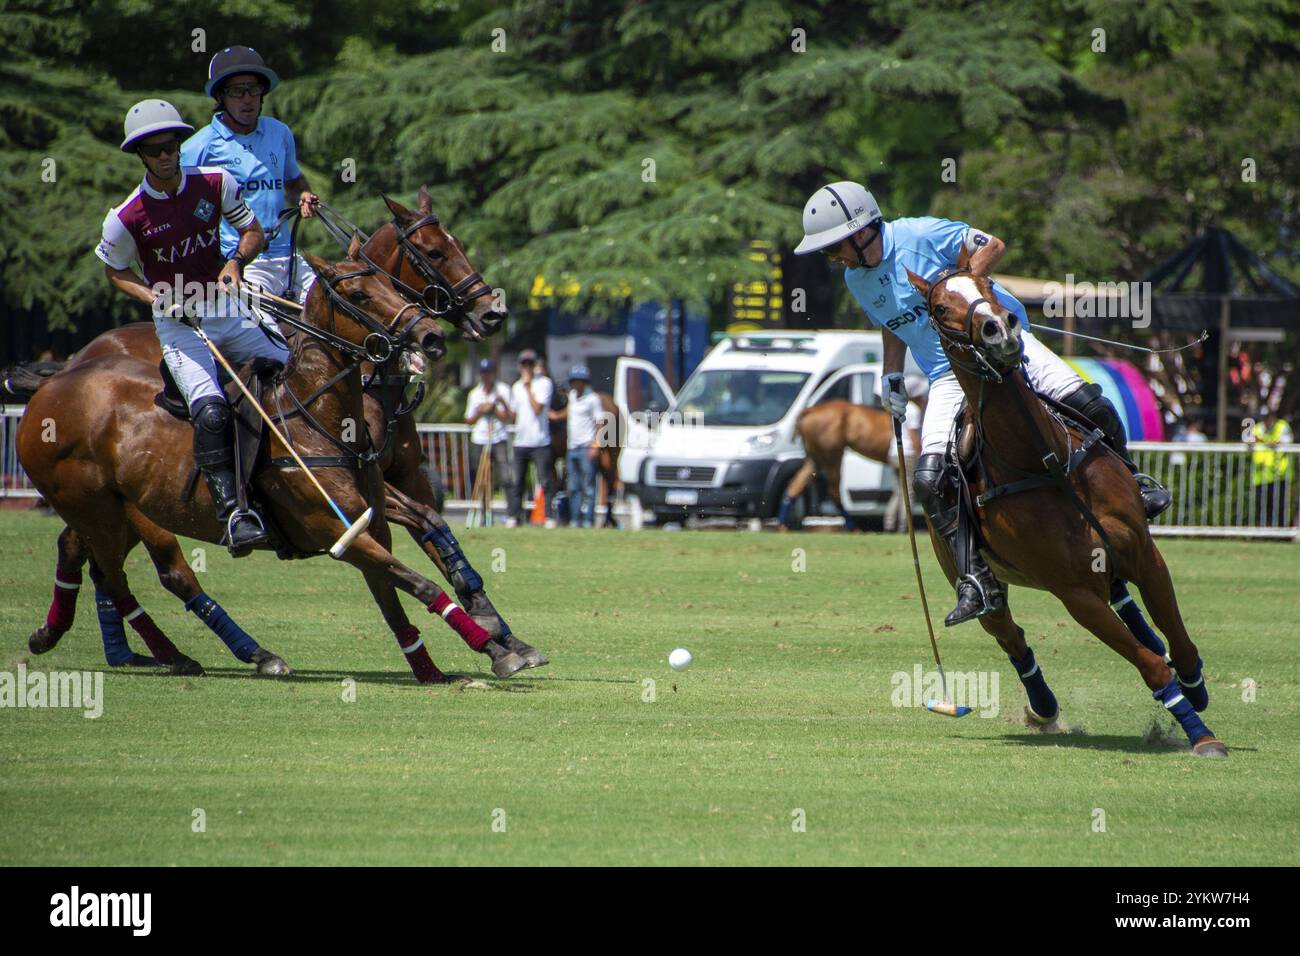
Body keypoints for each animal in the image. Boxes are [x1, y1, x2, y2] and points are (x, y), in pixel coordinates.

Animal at [909, 260, 1222, 754]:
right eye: (939, 307)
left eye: (988, 284)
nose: (1001, 330)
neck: (1046, 461)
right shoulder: (1075, 593)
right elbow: (1150, 666)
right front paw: (1202, 735)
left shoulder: (1144, 554)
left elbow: (1180, 640)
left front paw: (1195, 685)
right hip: (976, 581)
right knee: (1012, 637)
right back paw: (1043, 707)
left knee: (1127, 603)